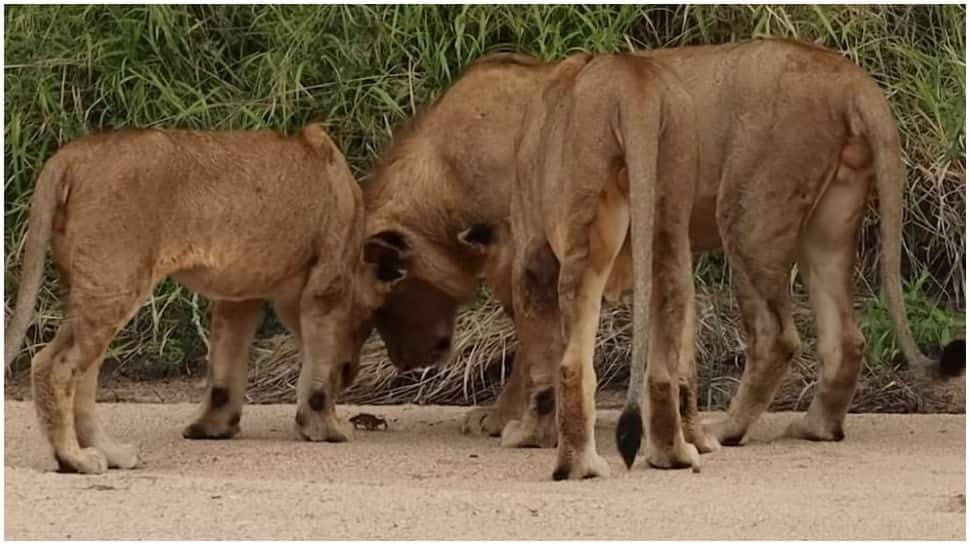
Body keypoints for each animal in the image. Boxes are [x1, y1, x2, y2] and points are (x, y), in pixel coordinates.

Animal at [3, 123, 404, 472]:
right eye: (371, 318)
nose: (352, 373)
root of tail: (69, 155)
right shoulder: (327, 286)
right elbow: (320, 367)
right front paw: (327, 429)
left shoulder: (240, 294)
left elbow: (226, 364)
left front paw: (213, 428)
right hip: (114, 279)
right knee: (53, 366)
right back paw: (74, 460)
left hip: (91, 286)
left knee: (85, 376)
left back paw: (109, 453)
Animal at [362, 40, 960, 450]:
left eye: (382, 304)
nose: (406, 364)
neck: (442, 170)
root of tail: (850, 77)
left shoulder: (520, 251)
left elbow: (531, 347)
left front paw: (499, 419)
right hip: (827, 228)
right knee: (846, 337)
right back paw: (815, 426)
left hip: (749, 212)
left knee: (777, 336)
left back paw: (730, 428)